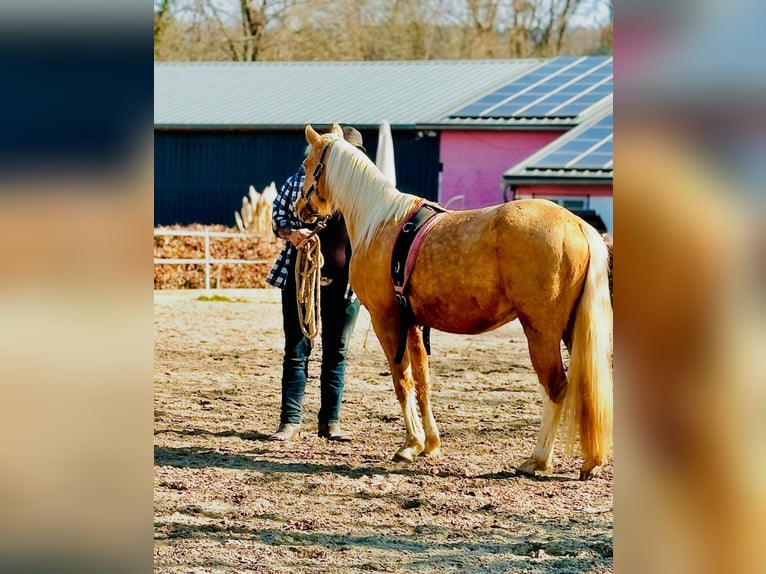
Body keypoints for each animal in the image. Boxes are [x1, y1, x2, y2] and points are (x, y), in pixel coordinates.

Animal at [296, 123, 613, 480]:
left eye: (307, 165)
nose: (298, 209)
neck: (378, 222)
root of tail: (577, 225)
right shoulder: (414, 323)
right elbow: (422, 380)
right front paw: (429, 443)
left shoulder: (386, 320)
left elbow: (401, 380)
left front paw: (409, 445)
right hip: (573, 330)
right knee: (587, 387)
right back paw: (590, 461)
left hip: (542, 332)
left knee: (556, 387)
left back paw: (537, 460)